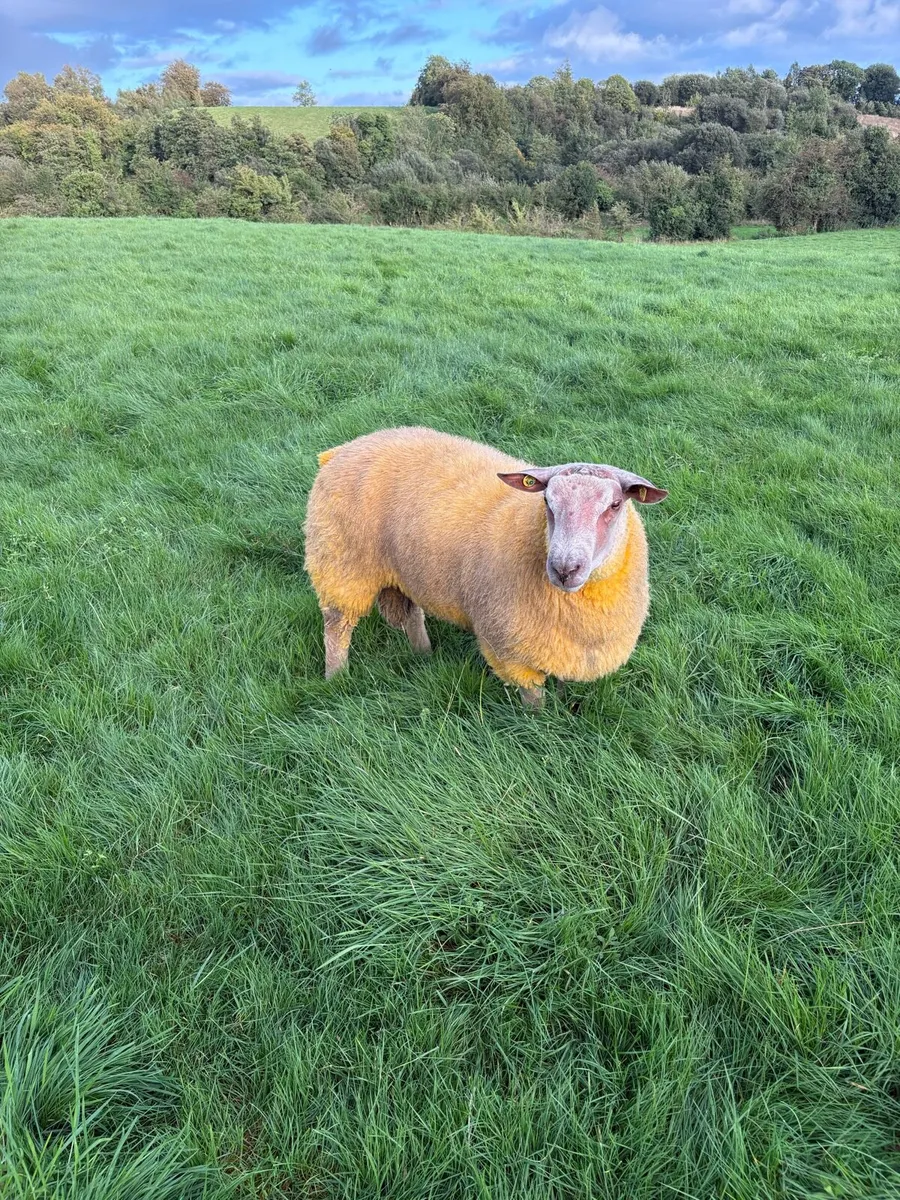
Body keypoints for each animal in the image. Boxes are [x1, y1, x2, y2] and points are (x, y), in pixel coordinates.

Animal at [303, 426, 667, 709]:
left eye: (615, 505)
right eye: (546, 502)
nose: (564, 568)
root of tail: (341, 450)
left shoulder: (564, 647)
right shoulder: (509, 649)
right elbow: (534, 700)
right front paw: (540, 727)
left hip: (407, 568)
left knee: (411, 614)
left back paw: (423, 654)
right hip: (341, 563)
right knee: (337, 626)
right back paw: (336, 677)